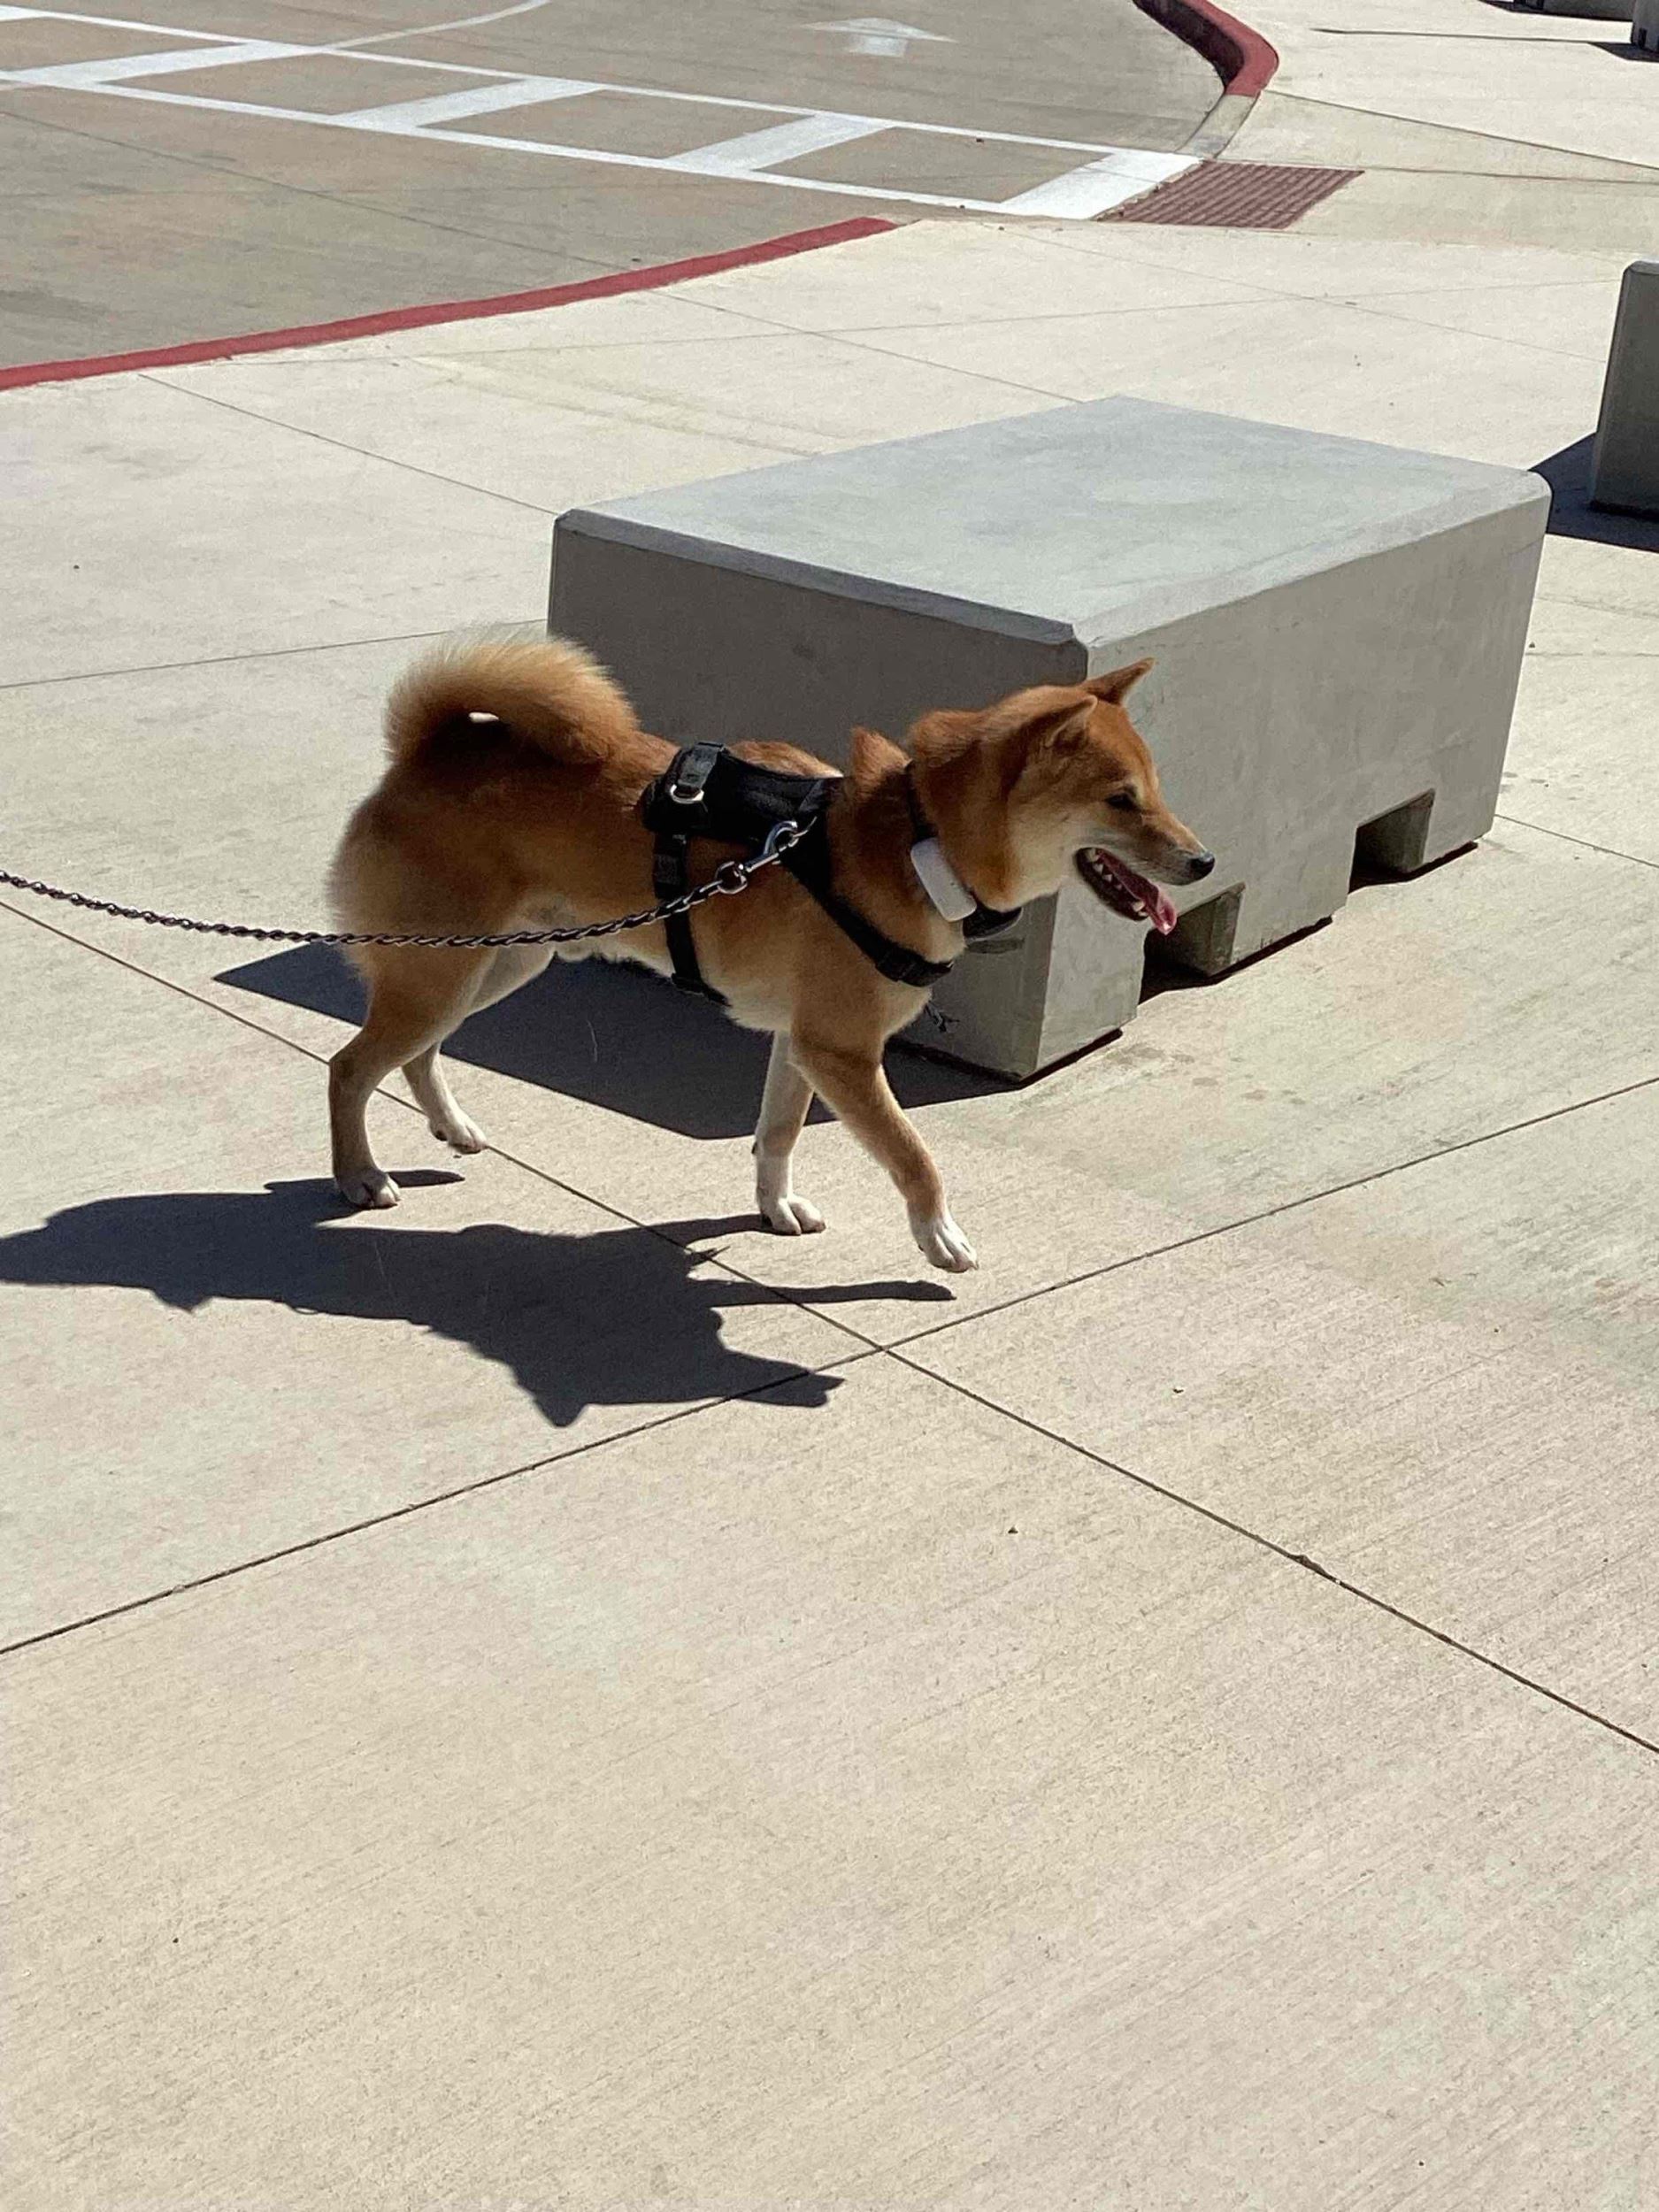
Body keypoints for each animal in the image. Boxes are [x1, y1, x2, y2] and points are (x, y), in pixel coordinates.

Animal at [327, 638, 1212, 1272]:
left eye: (1157, 790)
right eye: (1120, 801)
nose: (1204, 862)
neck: (919, 841)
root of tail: (427, 751)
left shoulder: (802, 1043)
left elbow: (778, 1134)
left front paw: (773, 1208)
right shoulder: (844, 1054)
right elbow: (912, 1153)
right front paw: (937, 1235)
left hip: (493, 965)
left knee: (414, 1056)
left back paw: (451, 1127)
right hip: (442, 973)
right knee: (351, 1067)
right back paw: (358, 1175)